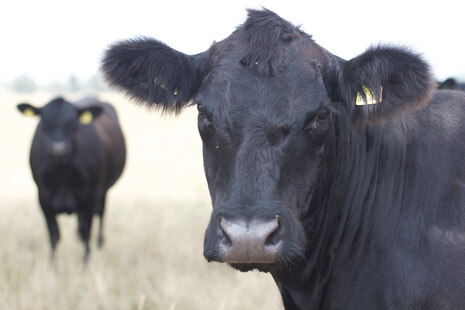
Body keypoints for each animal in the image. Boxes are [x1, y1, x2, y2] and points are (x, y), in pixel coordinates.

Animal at [17, 97, 125, 262]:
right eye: (44, 123)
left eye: (73, 124)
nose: (58, 149)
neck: (63, 170)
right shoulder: (43, 199)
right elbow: (54, 234)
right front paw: (52, 265)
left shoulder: (90, 197)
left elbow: (86, 231)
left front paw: (86, 262)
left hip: (103, 191)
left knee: (100, 215)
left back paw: (99, 244)